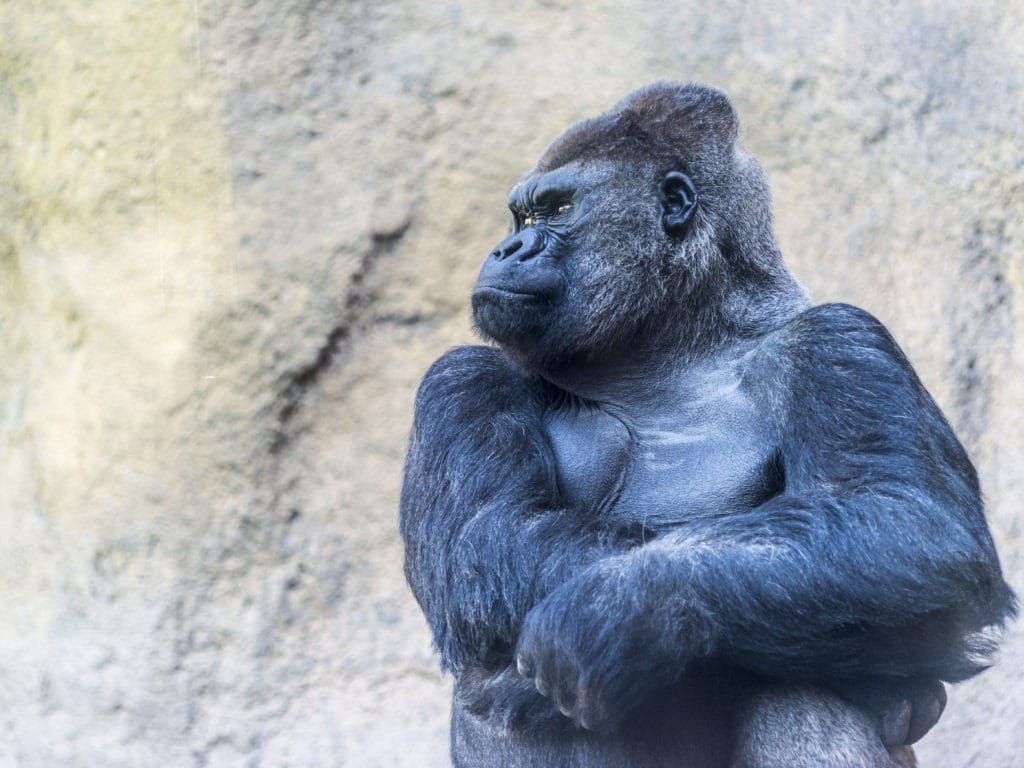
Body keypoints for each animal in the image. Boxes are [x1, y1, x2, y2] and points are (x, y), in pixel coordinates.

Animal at [395, 83, 1011, 768]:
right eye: (521, 220)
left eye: (557, 210)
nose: (506, 250)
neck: (676, 339)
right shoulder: (458, 377)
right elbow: (491, 533)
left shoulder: (838, 336)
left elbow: (910, 525)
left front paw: (623, 607)